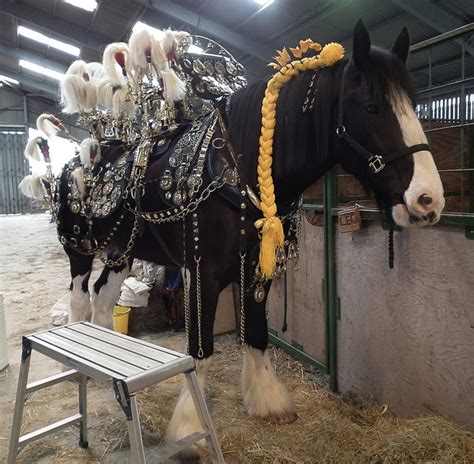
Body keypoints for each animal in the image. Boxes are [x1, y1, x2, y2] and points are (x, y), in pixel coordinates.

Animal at [51, 21, 444, 446]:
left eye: (414, 105)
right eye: (372, 107)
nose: (428, 201)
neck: (233, 165)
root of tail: (78, 159)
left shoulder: (258, 269)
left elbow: (256, 333)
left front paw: (268, 401)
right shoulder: (201, 274)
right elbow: (200, 349)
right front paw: (190, 423)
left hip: (121, 250)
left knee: (103, 299)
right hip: (79, 249)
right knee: (79, 300)